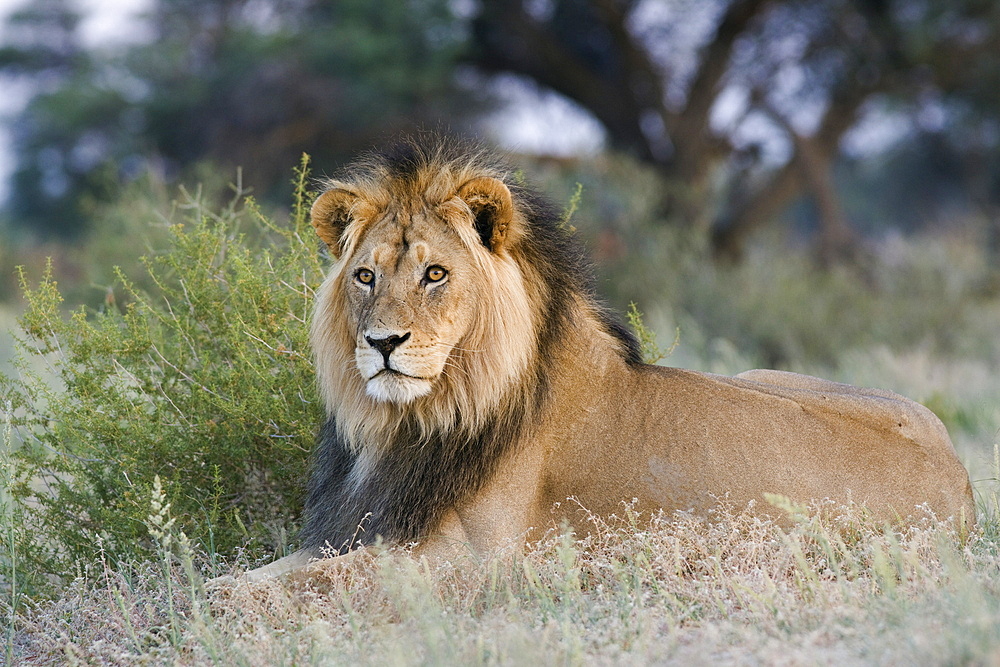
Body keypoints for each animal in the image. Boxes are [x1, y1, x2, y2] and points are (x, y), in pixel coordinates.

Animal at [242, 138, 976, 580]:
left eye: (435, 275)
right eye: (365, 276)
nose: (383, 343)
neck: (410, 424)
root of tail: (964, 483)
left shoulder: (459, 560)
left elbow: (280, 591)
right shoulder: (354, 533)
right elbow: (252, 576)